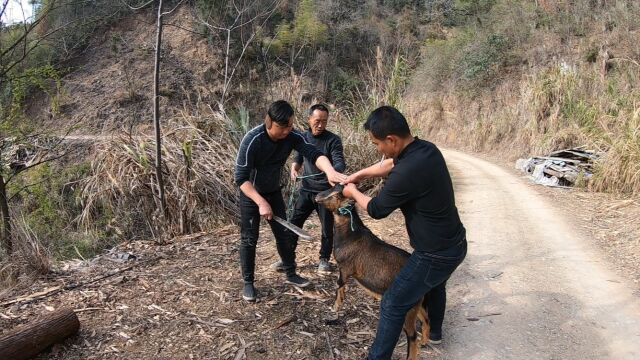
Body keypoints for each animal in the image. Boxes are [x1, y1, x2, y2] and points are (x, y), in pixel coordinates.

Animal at [312, 184, 428, 358]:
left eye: (336, 195)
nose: (317, 196)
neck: (350, 233)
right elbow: (342, 285)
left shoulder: (345, 267)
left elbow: (339, 284)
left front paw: (336, 306)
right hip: (415, 303)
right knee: (426, 317)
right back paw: (425, 341)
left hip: (406, 304)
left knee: (412, 335)